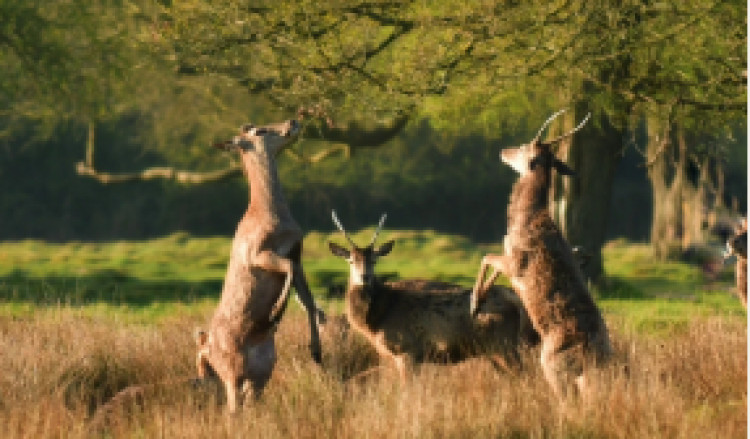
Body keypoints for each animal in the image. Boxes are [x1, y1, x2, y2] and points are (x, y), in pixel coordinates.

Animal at [194, 119, 324, 413]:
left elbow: (308, 299)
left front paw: (317, 350)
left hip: (261, 375)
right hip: (231, 371)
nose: (293, 122)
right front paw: (275, 311)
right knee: (231, 409)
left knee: (246, 403)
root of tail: (207, 349)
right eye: (259, 130)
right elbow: (287, 269)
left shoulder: (298, 254)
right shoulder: (257, 253)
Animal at [328, 211, 539, 382]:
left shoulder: (406, 350)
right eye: (350, 260)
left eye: (374, 260)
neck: (376, 320)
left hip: (504, 344)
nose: (365, 277)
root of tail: (517, 300)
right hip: (493, 350)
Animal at [469, 109, 612, 399]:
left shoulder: (515, 262)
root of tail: (593, 361)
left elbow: (486, 257)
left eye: (525, 147)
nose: (504, 150)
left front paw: (475, 302)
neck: (525, 220)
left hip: (553, 367)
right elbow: (492, 264)